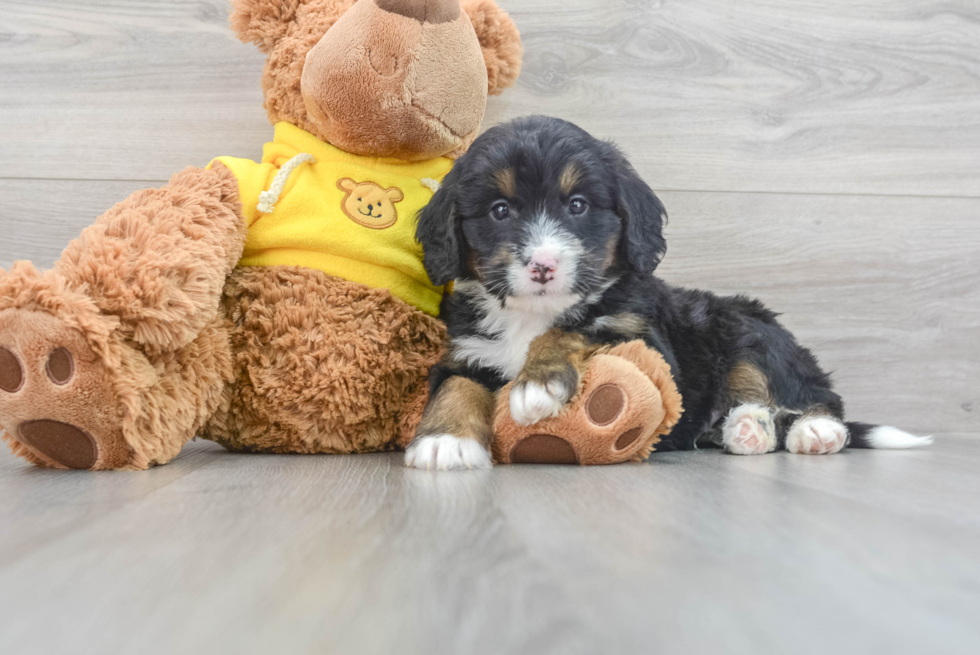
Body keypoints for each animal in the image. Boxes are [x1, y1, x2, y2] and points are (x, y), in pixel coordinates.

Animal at [406, 116, 936, 472]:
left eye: (577, 205)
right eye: (499, 211)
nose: (543, 265)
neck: (533, 313)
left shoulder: (645, 342)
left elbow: (576, 328)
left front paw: (538, 383)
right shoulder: (467, 350)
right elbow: (455, 386)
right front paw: (444, 440)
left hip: (747, 327)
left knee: (816, 395)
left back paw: (812, 430)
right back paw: (744, 429)